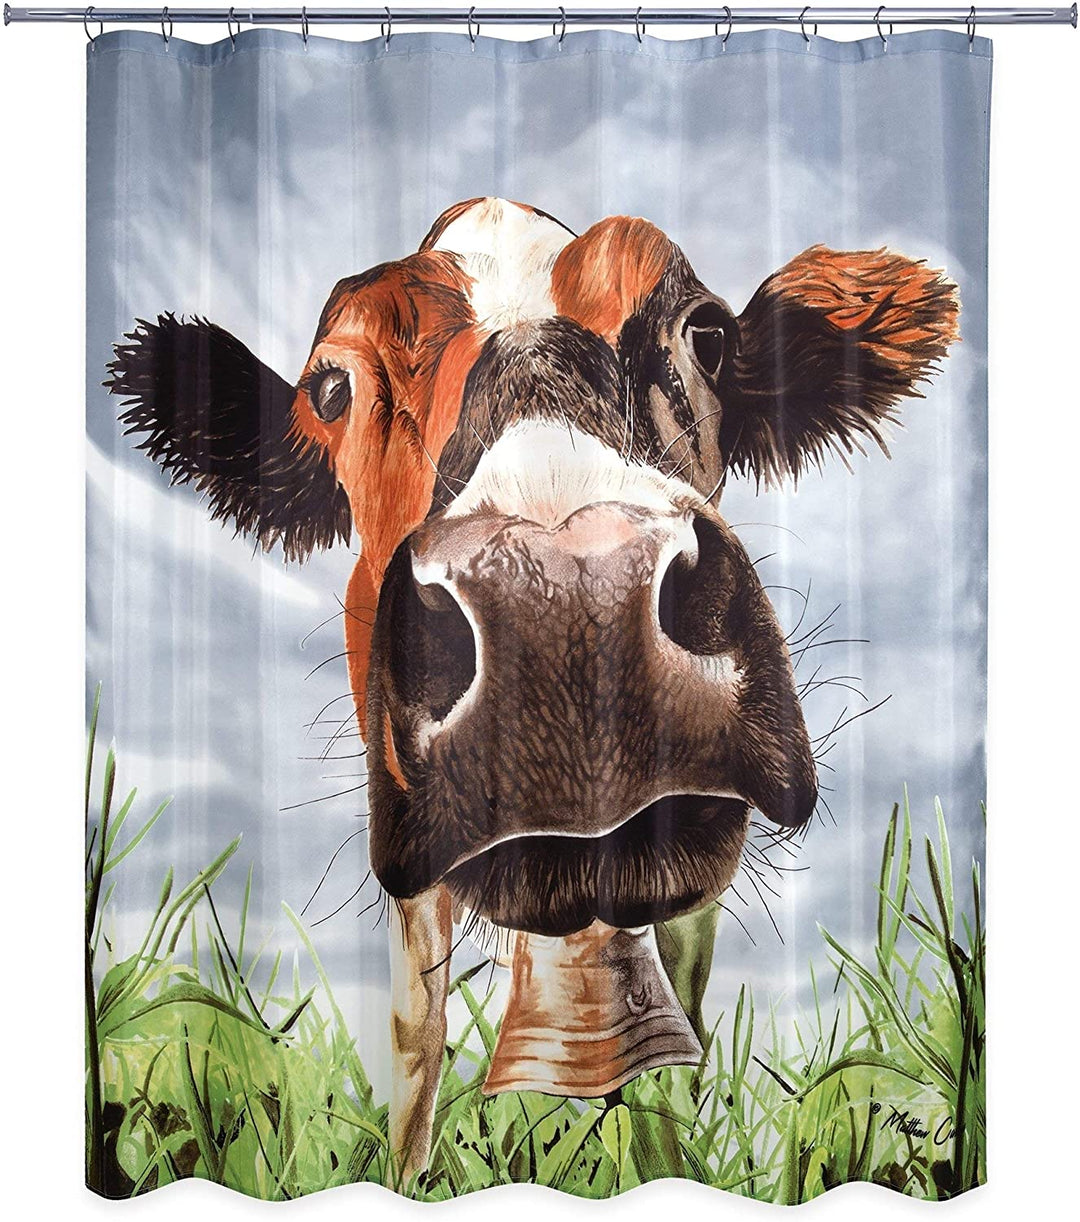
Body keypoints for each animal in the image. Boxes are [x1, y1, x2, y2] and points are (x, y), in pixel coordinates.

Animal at [106, 197, 959, 1186]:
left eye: (707, 333)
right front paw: (408, 1183)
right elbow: (416, 1035)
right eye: (329, 391)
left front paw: (667, 1151)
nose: (569, 598)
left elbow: (681, 1020)